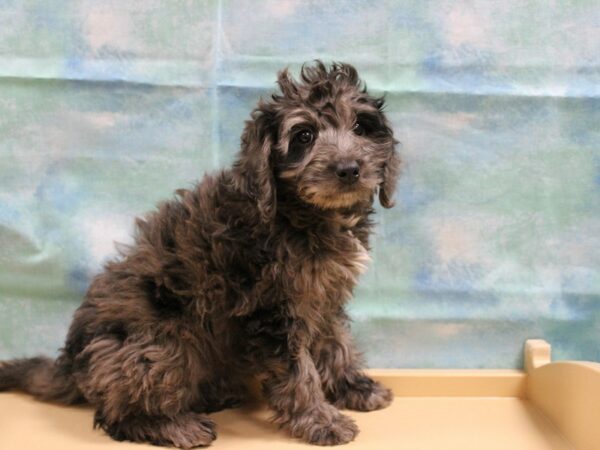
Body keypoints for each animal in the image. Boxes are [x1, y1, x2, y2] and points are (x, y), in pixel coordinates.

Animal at [1, 61, 404, 448]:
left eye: (360, 127)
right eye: (304, 136)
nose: (349, 169)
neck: (301, 213)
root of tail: (70, 365)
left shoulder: (323, 298)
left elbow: (336, 343)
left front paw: (354, 387)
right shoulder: (271, 310)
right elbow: (297, 370)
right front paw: (320, 420)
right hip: (155, 345)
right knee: (117, 414)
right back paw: (173, 425)